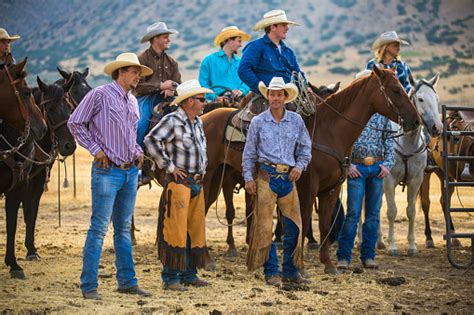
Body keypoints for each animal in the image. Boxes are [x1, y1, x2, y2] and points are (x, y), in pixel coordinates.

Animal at [2, 75, 90, 280]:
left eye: (68, 106)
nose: (69, 146)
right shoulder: (23, 182)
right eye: (50, 109)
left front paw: (31, 250)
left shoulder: (38, 178)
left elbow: (31, 213)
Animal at [380, 73, 442, 256]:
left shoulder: (416, 180)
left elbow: (411, 211)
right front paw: (393, 247)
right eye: (420, 99)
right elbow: (392, 211)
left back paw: (379, 241)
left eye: (436, 98)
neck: (406, 142)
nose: (437, 127)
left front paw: (412, 246)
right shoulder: (389, 180)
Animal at [418, 110, 474, 251]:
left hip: (444, 174)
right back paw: (429, 238)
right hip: (426, 173)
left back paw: (454, 238)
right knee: (426, 202)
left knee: (444, 201)